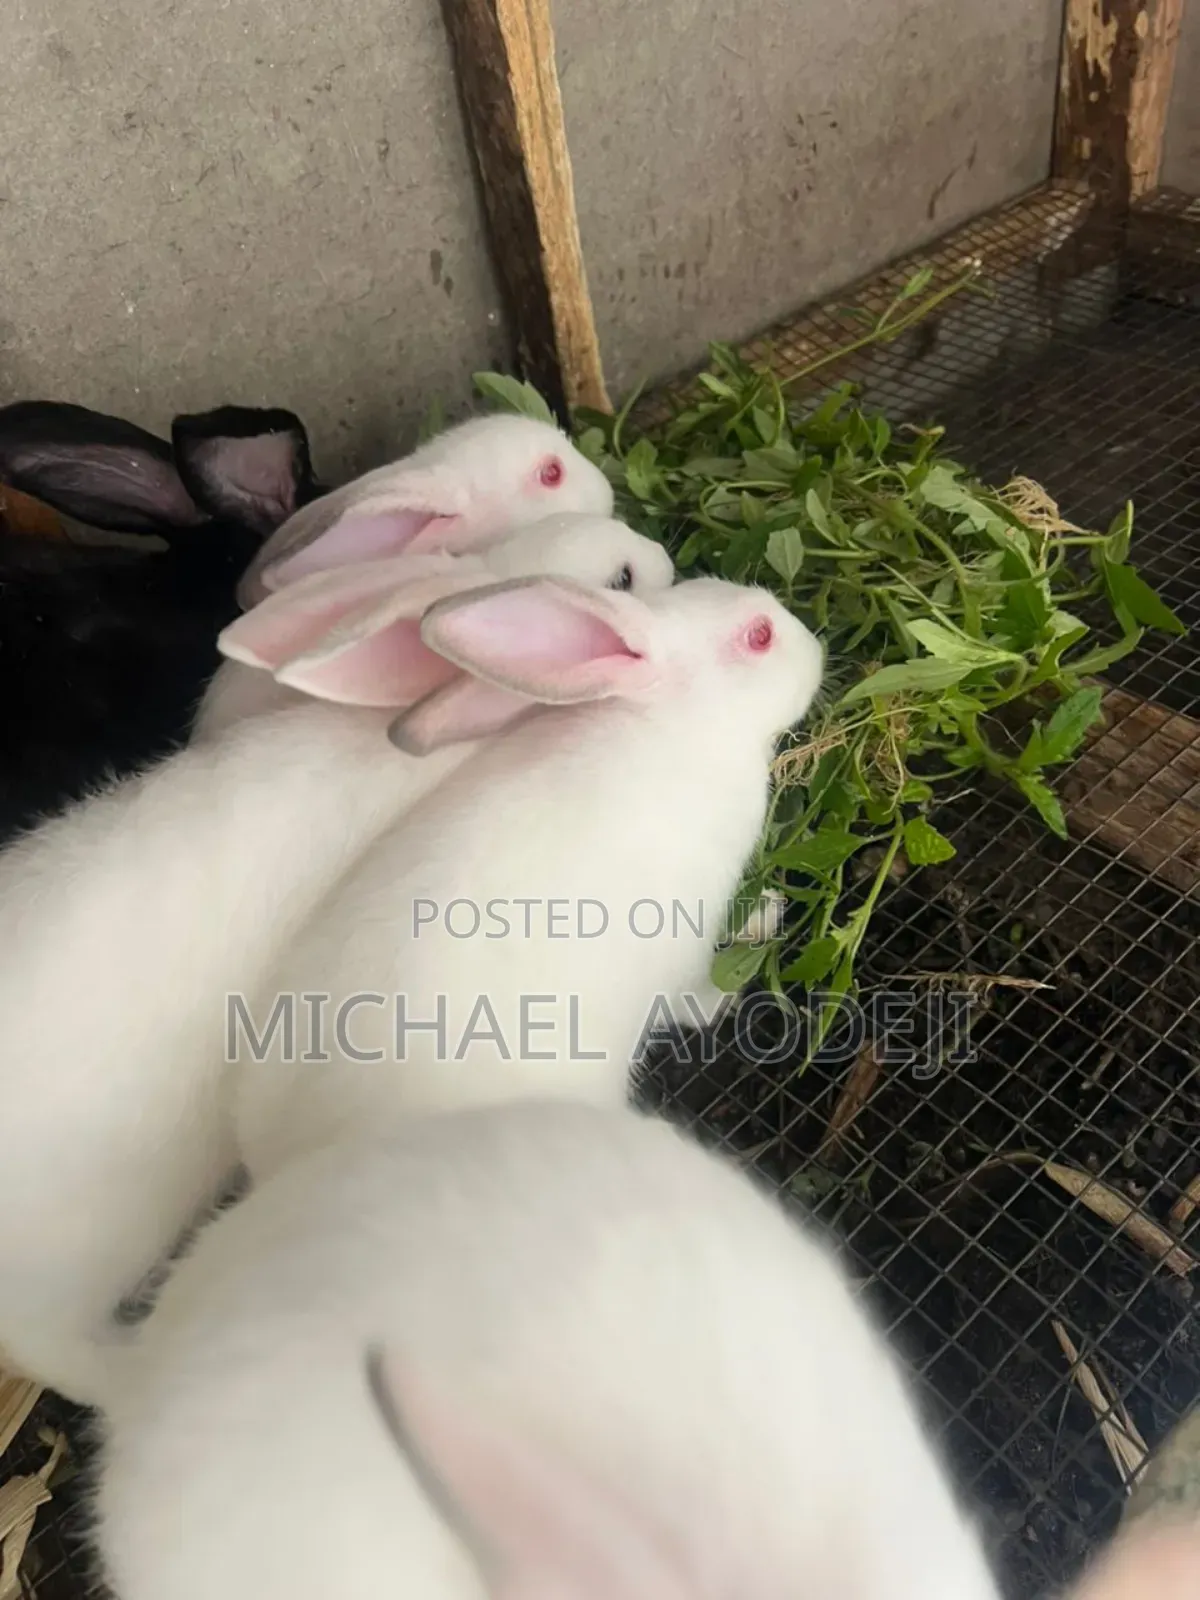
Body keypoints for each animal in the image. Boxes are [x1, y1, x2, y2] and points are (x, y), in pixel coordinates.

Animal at [227, 571, 824, 1185]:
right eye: (759, 636)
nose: (817, 649)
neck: (678, 727)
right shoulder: (685, 940)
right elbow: (696, 998)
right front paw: (764, 920)